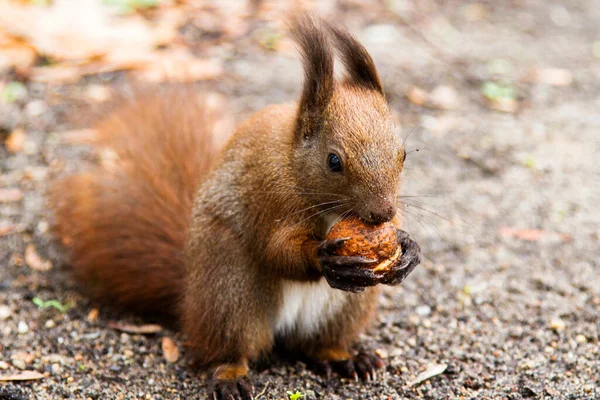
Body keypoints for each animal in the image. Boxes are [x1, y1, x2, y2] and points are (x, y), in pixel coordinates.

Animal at [48, 14, 422, 400]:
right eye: (334, 161)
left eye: (403, 155)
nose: (382, 214)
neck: (295, 166)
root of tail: (189, 299)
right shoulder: (270, 196)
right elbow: (277, 250)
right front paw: (324, 256)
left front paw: (408, 248)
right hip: (229, 288)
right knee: (230, 346)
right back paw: (230, 375)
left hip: (346, 307)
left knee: (316, 345)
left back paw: (346, 358)